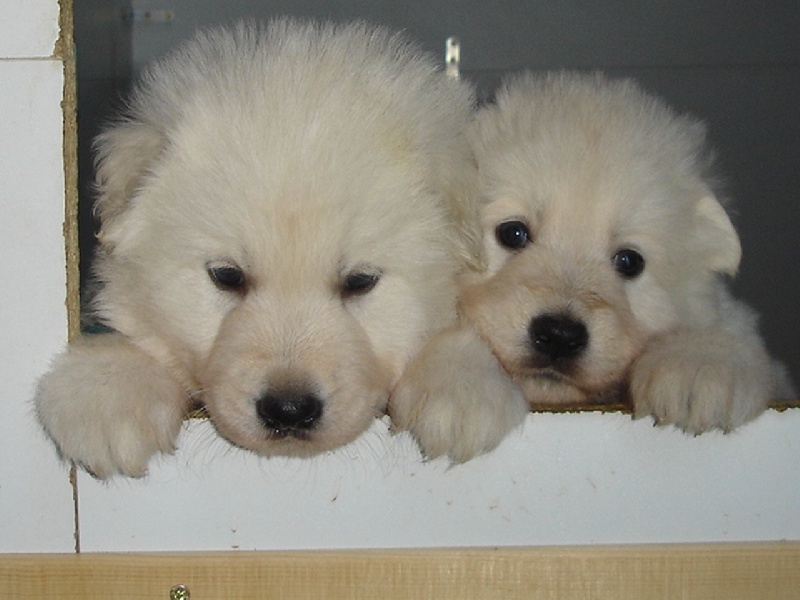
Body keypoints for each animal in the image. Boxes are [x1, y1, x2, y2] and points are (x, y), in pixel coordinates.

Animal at [390, 71, 792, 464]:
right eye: (513, 233)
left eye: (629, 261)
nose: (559, 335)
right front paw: (461, 388)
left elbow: (725, 324)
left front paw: (697, 365)